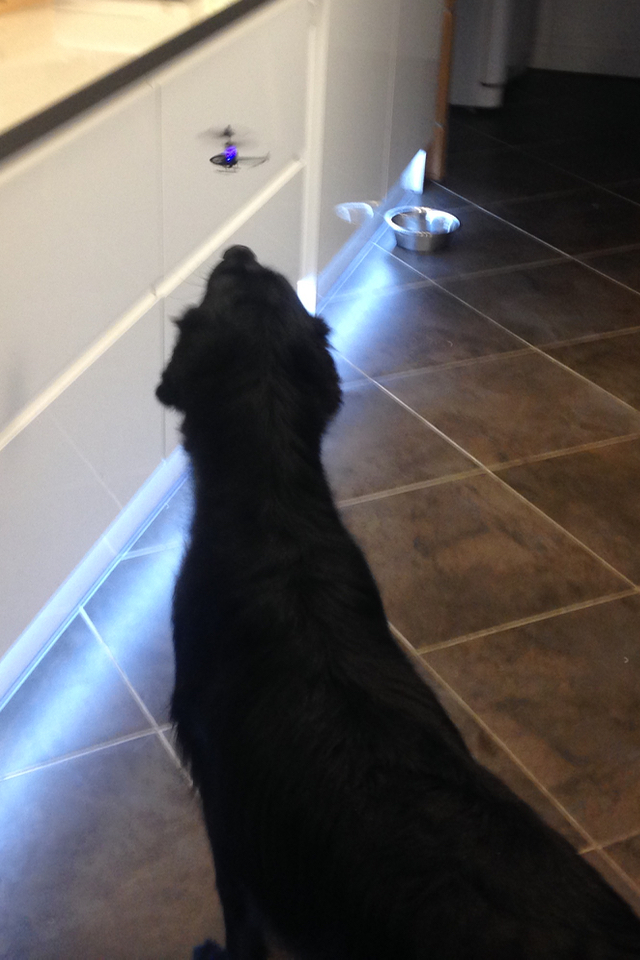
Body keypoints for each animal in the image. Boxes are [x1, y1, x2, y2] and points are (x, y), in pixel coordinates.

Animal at [157, 245, 640, 960]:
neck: (279, 519)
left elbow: (239, 919)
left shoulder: (224, 814)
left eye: (225, 281)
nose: (240, 250)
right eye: (268, 281)